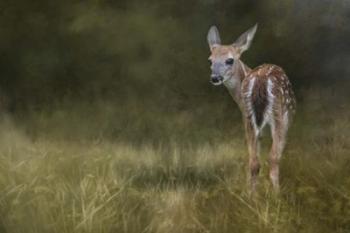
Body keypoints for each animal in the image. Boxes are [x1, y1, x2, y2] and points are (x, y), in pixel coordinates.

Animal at [206, 24, 296, 193]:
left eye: (229, 60)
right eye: (211, 61)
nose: (215, 78)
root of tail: (260, 80)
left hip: (249, 118)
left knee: (254, 162)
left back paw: (251, 196)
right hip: (278, 115)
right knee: (273, 158)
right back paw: (276, 195)